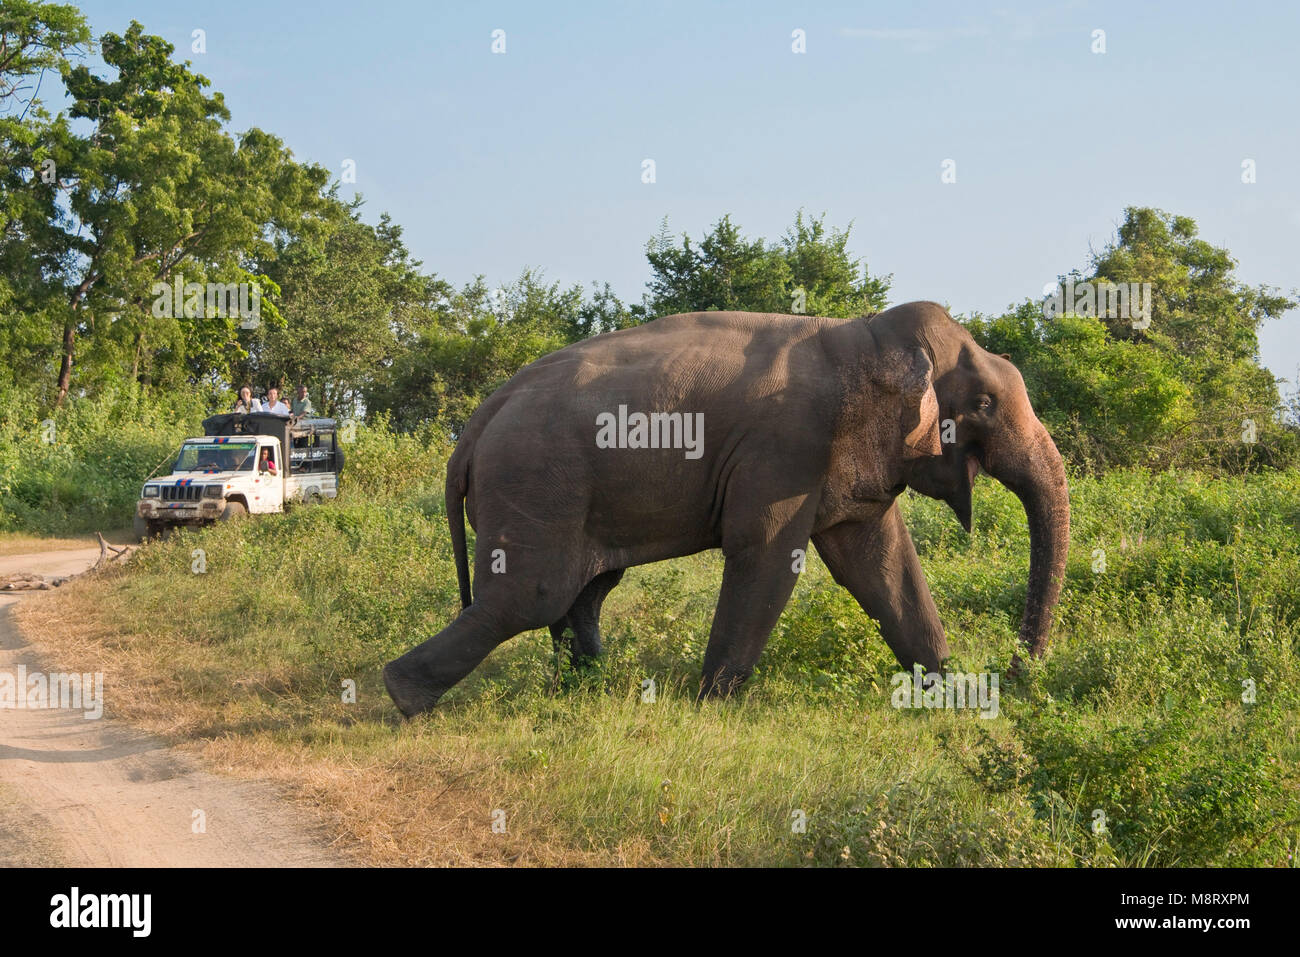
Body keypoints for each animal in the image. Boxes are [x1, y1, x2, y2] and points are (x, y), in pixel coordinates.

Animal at [379, 300, 1071, 717]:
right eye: (984, 403)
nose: (1014, 673)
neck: (862, 334)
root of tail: (475, 425)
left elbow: (879, 562)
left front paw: (947, 695)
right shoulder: (785, 450)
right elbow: (766, 555)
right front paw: (711, 706)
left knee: (583, 592)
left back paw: (590, 689)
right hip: (534, 483)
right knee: (531, 596)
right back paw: (403, 698)